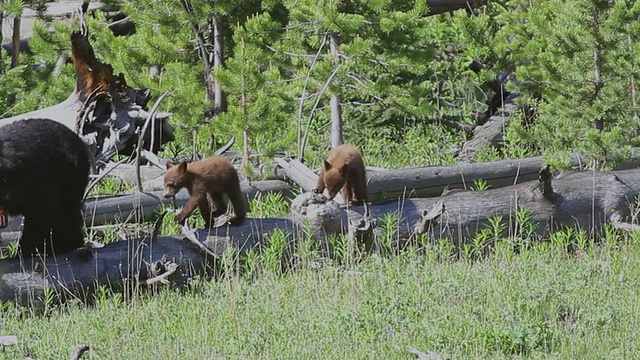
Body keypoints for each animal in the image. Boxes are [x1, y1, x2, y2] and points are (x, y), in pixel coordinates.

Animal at [0, 118, 90, 256]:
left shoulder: (34, 179)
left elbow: (41, 212)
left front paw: (27, 249)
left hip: (70, 175)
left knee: (65, 210)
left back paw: (65, 244)